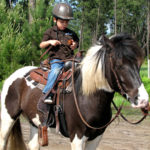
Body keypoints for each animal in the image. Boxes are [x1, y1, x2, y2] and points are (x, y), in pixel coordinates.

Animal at [0, 33, 149, 149]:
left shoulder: (96, 138)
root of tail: (13, 77)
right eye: (119, 65)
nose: (143, 100)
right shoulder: (77, 136)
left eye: (139, 64)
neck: (87, 96)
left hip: (35, 123)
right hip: (8, 117)